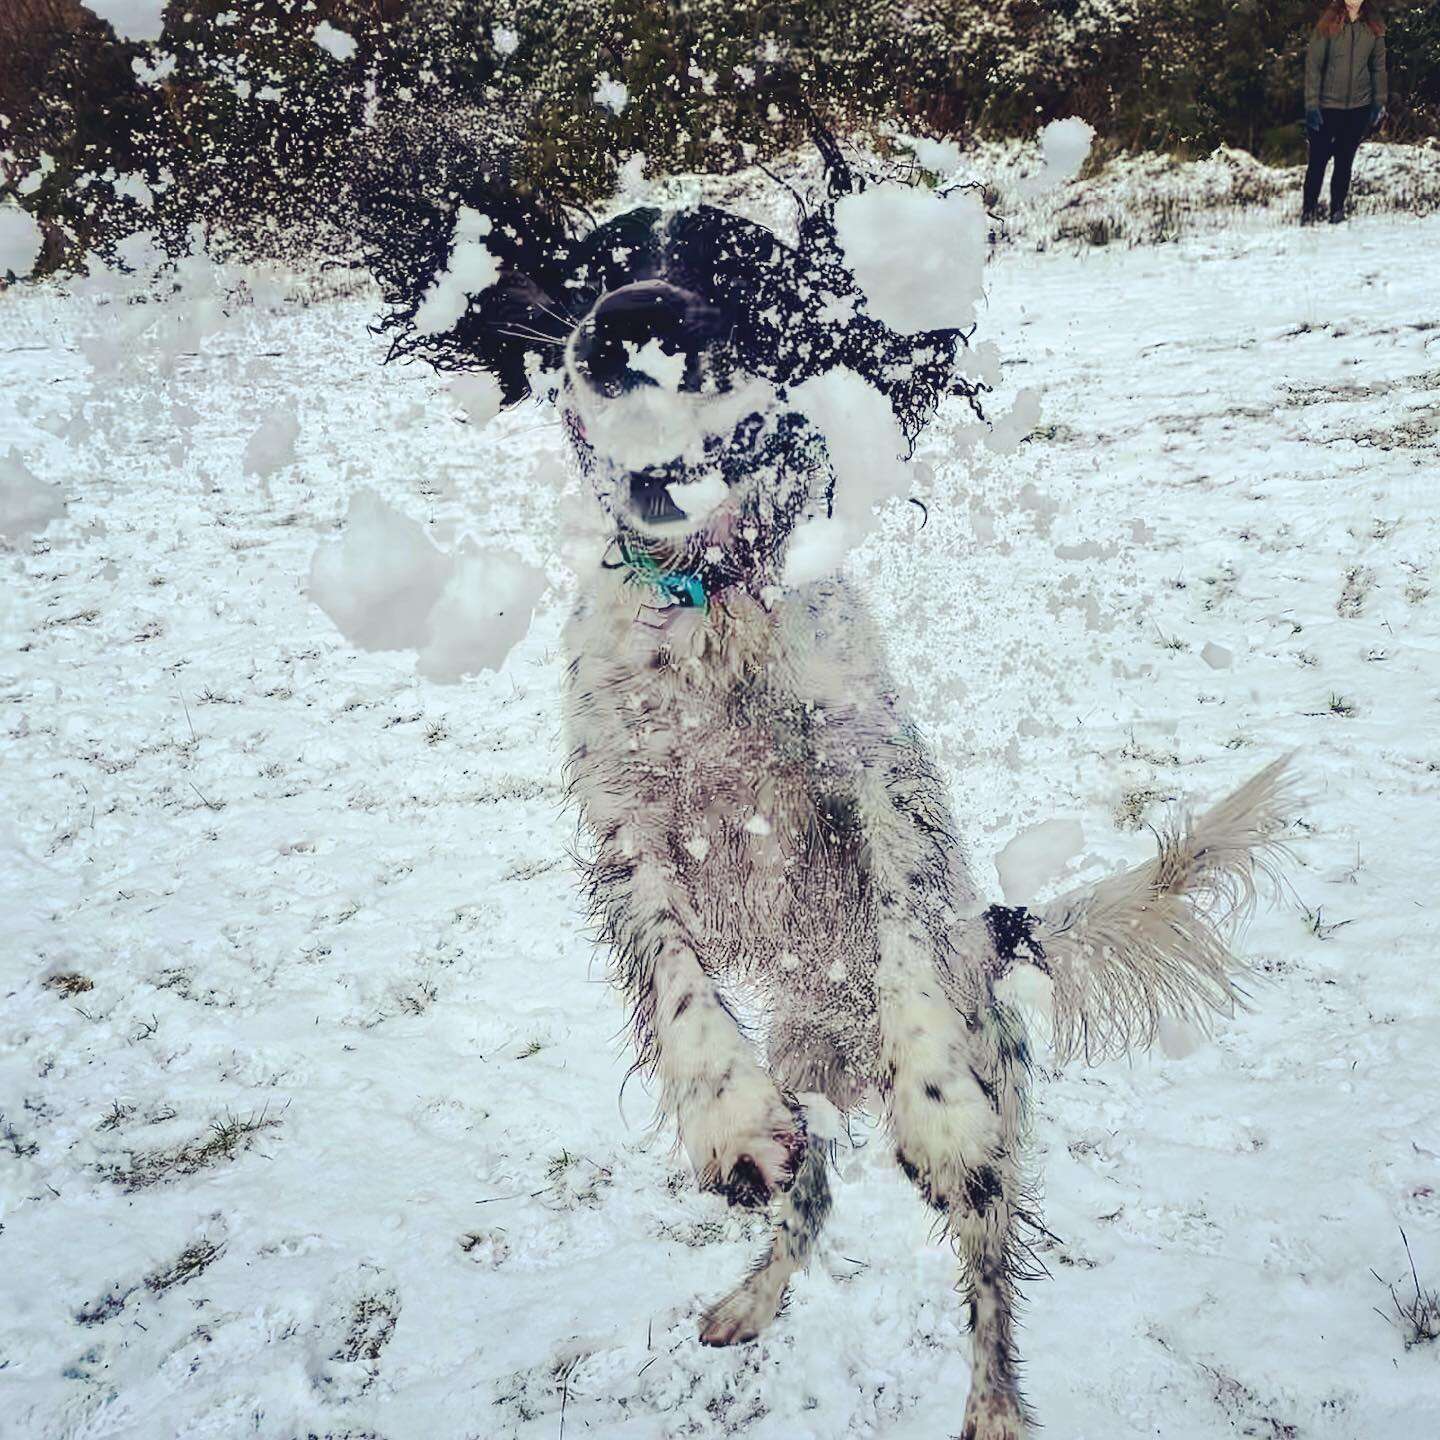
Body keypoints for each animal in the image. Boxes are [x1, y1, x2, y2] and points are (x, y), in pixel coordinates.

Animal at [365, 149, 1290, 1440]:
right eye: (594, 268)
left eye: (735, 269)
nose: (631, 322)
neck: (712, 594)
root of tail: (998, 935)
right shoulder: (630, 829)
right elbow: (682, 991)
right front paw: (728, 1117)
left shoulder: (876, 781)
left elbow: (905, 939)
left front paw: (935, 1099)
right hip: (806, 1074)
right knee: (814, 1188)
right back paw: (748, 1297)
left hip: (999, 1117)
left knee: (989, 1277)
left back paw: (993, 1407)